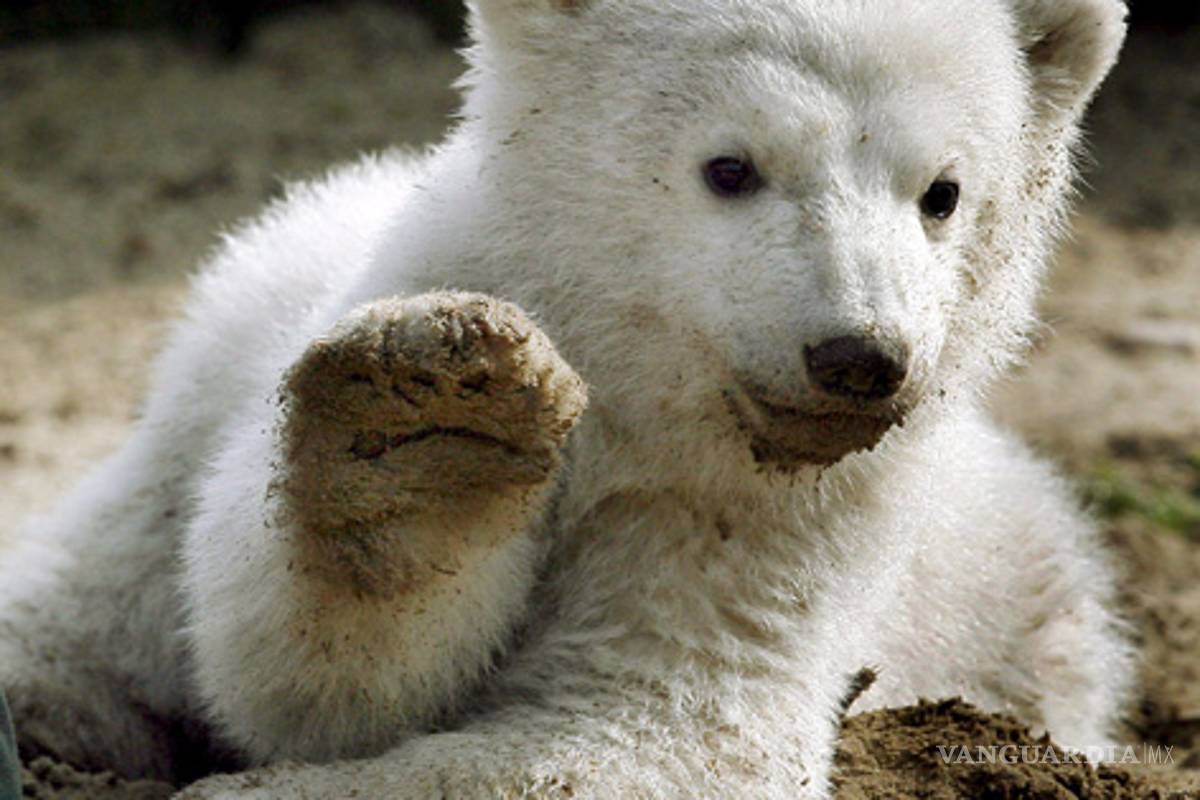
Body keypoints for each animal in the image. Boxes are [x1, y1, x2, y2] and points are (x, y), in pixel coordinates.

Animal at [0, 0, 1132, 797]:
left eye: (944, 193)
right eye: (730, 166)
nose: (858, 355)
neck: (634, 398)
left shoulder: (756, 517)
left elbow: (662, 728)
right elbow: (290, 653)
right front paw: (421, 438)